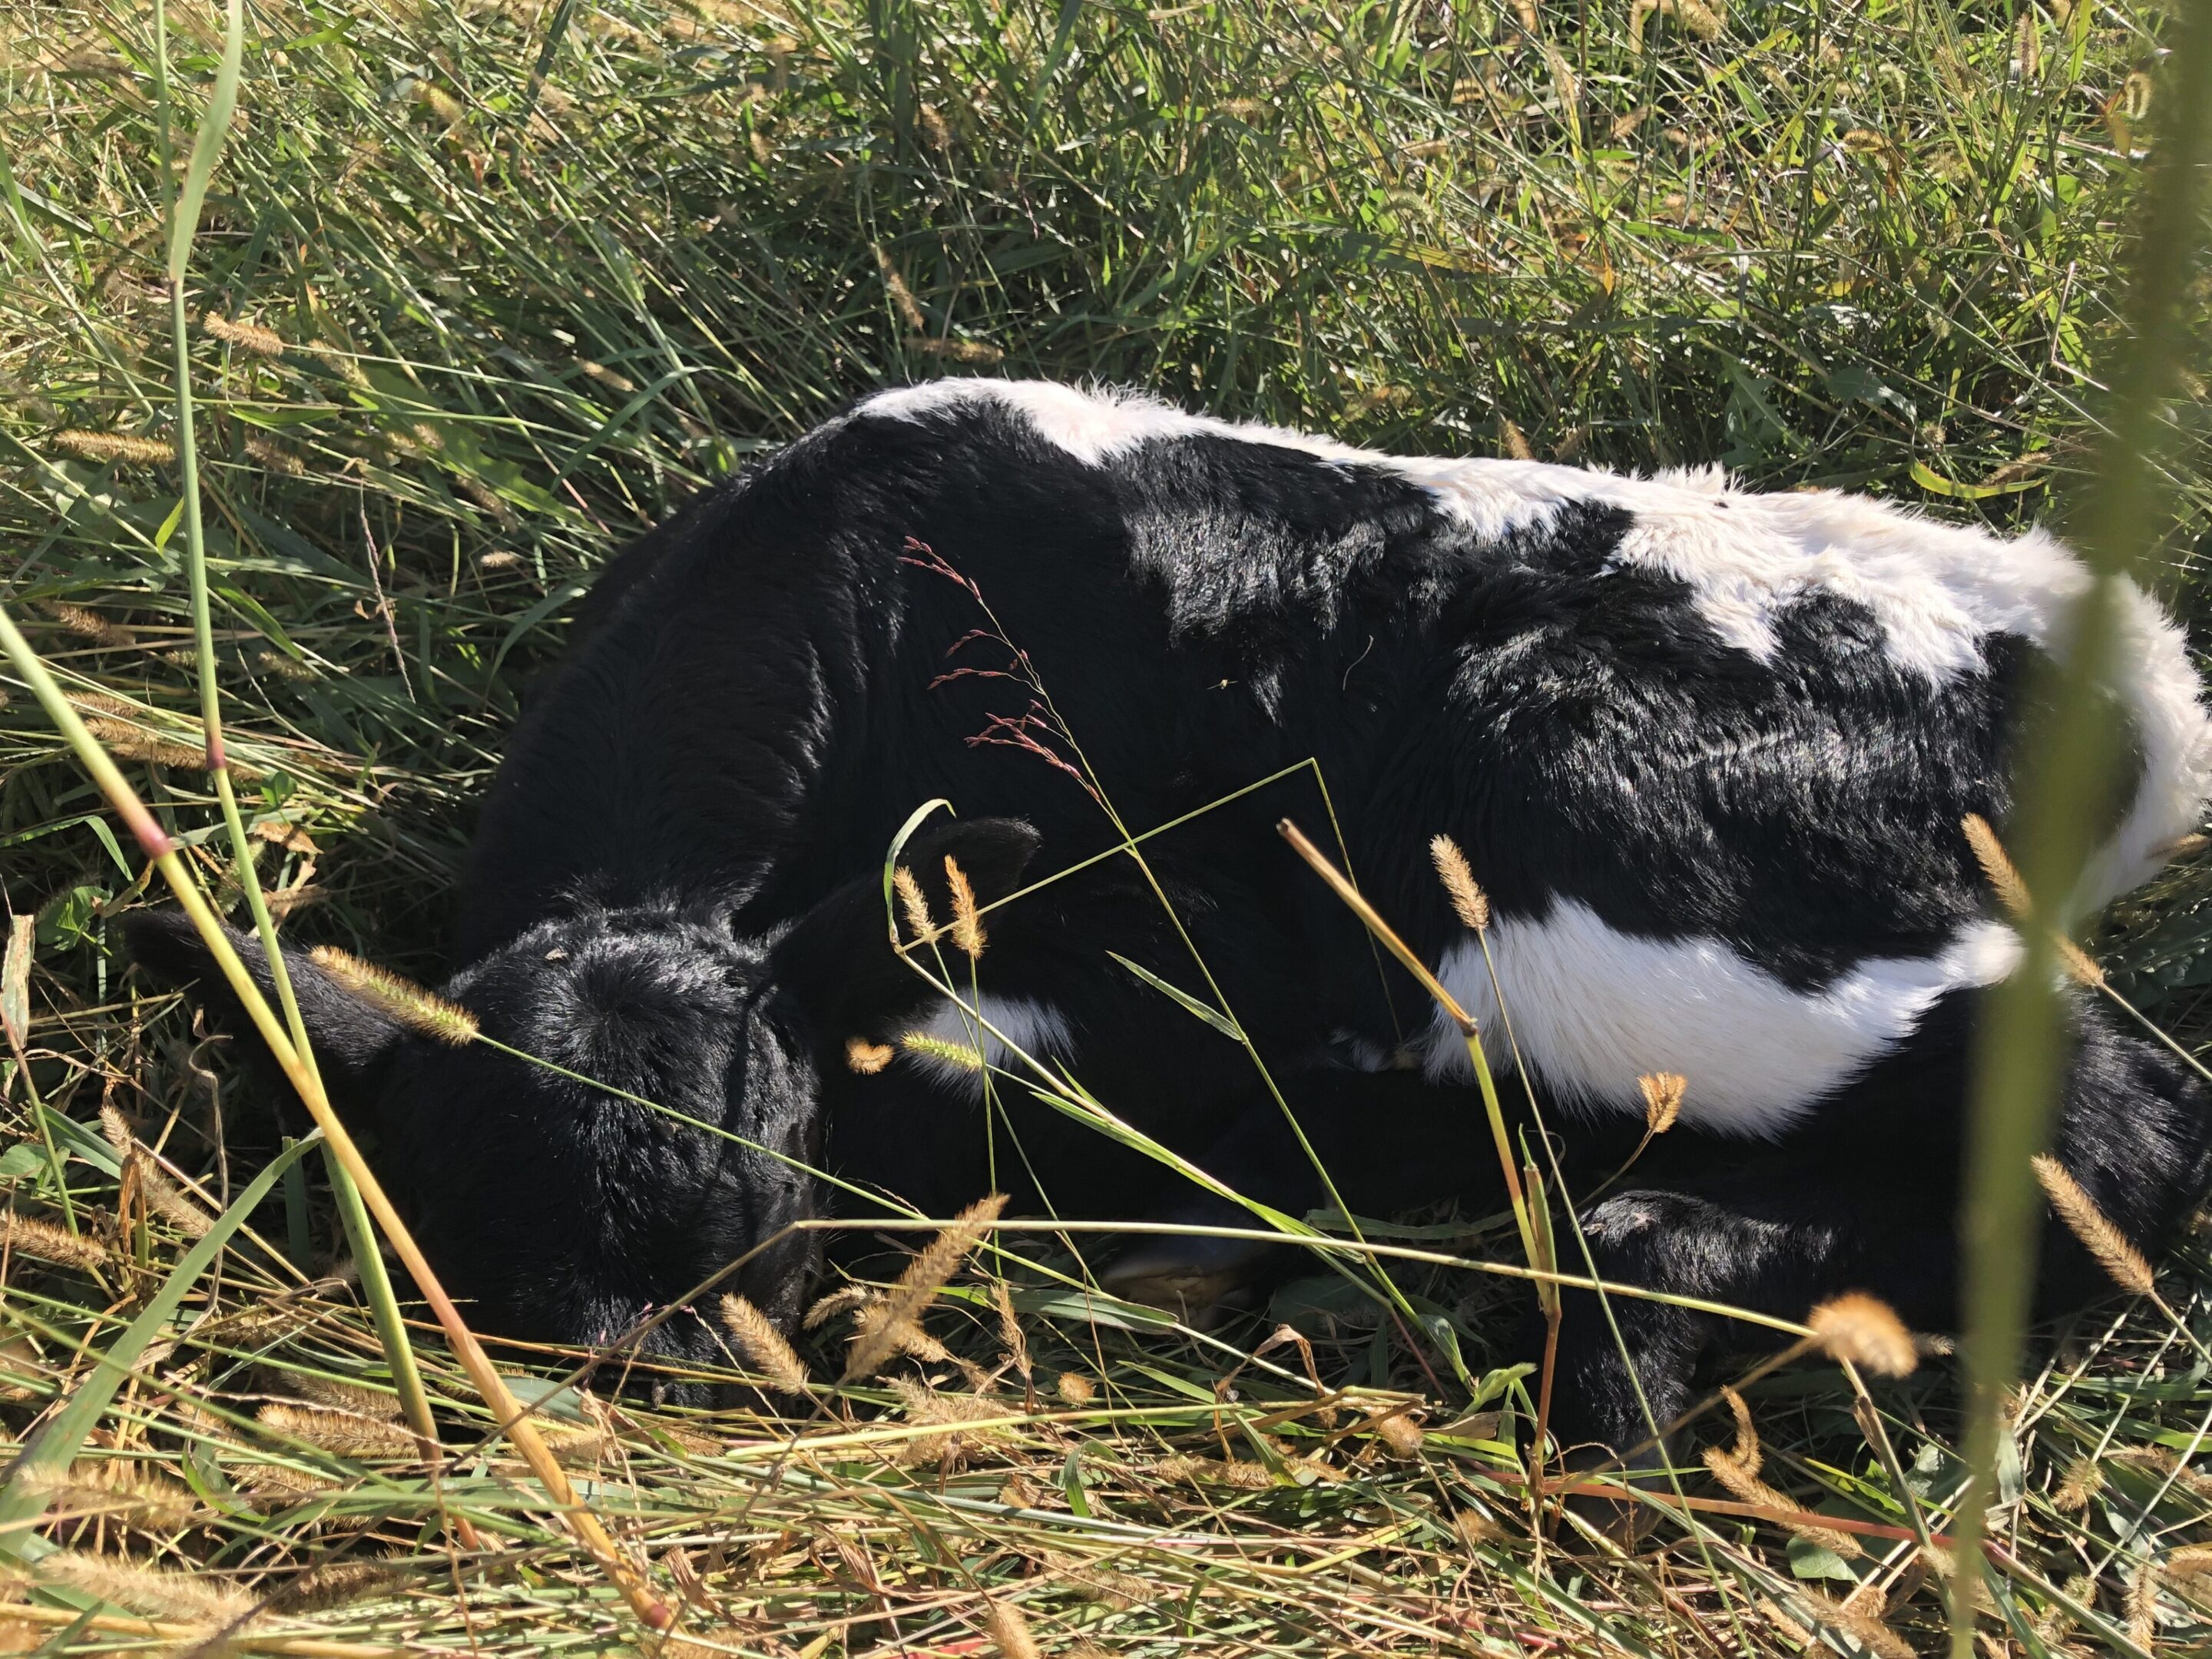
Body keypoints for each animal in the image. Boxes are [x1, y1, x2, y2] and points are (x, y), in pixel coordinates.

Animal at [130, 379, 2212, 1461]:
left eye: (767, 1202)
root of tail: (2105, 646)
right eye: (479, 1264)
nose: (679, 1397)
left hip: (1599, 869)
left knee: (2113, 1124)